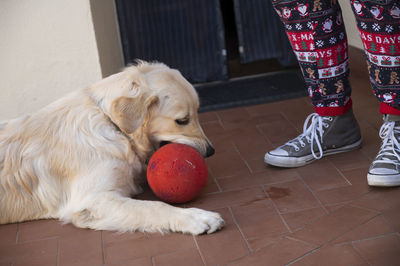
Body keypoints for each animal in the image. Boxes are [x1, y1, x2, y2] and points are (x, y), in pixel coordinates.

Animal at [0, 61, 225, 234]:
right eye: (182, 120)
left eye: (197, 112)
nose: (211, 151)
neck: (112, 124)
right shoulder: (91, 200)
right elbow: (154, 207)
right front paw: (196, 218)